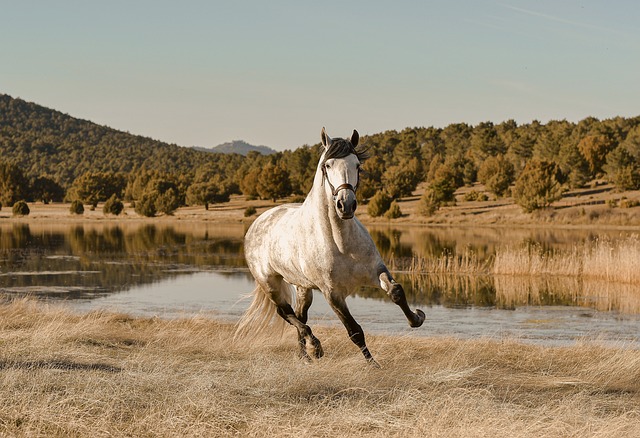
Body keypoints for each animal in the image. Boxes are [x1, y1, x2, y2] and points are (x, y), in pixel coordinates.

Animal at [236, 127, 425, 365]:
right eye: (327, 165)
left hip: (303, 287)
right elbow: (354, 331)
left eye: (357, 165)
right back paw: (315, 347)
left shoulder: (376, 271)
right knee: (286, 313)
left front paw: (417, 318)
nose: (346, 205)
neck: (341, 243)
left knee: (299, 315)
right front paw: (374, 366)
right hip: (270, 283)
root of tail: (258, 222)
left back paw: (304, 356)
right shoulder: (333, 294)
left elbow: (396, 292)